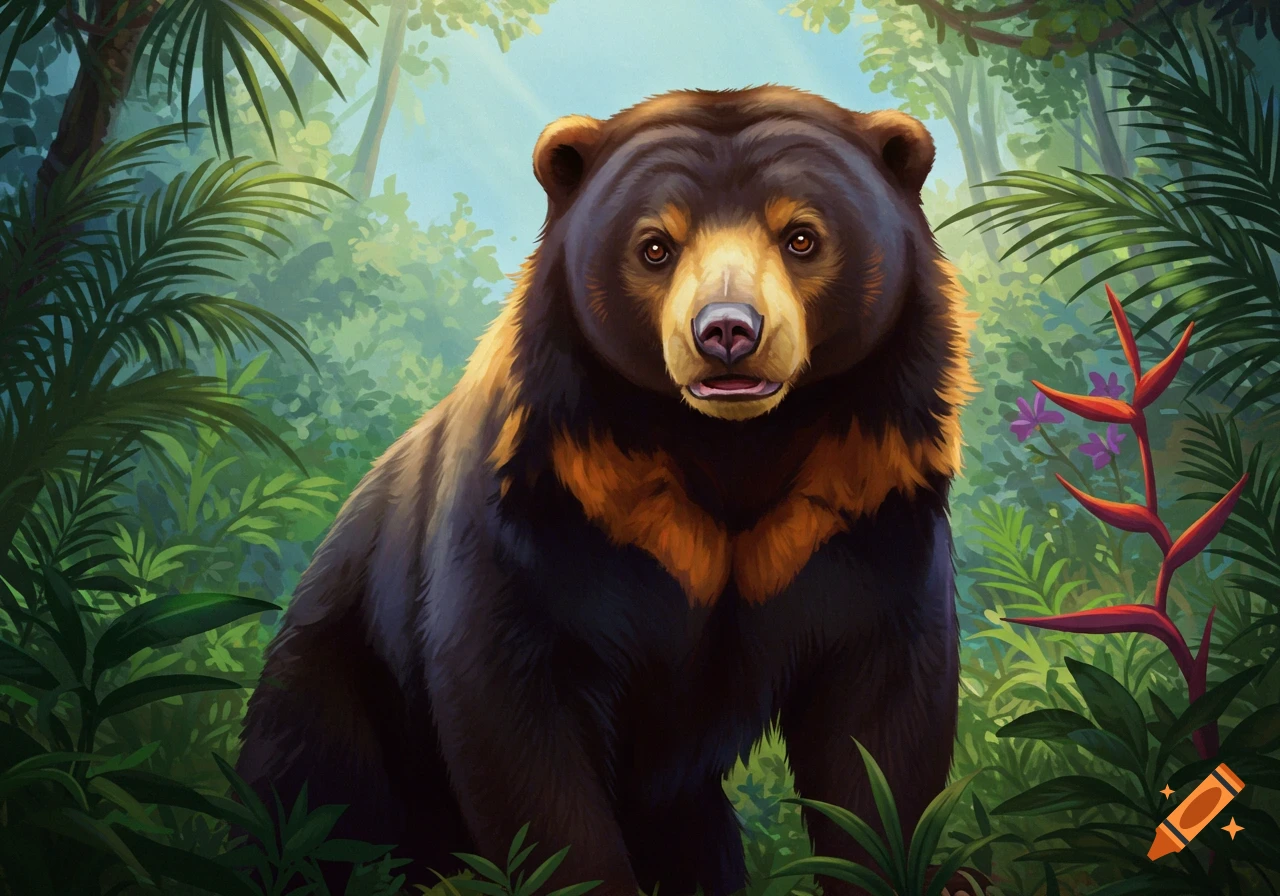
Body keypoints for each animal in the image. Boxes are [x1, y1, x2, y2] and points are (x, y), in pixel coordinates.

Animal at [236, 85, 976, 896]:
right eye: (655, 245)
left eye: (802, 237)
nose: (727, 332)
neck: (733, 446)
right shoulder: (552, 502)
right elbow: (518, 721)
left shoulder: (865, 502)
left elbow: (881, 729)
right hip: (339, 685)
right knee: (311, 804)